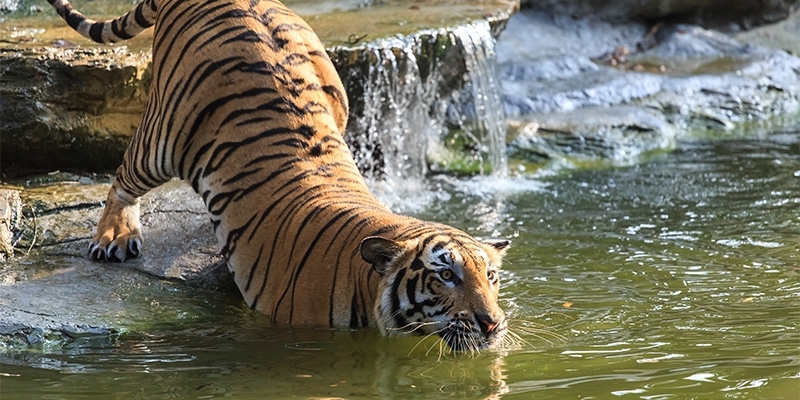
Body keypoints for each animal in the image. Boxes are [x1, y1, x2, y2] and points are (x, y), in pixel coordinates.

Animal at [48, 0, 510, 351]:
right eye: (446, 276)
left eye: (490, 277)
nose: (491, 323)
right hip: (165, 134)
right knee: (124, 178)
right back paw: (115, 235)